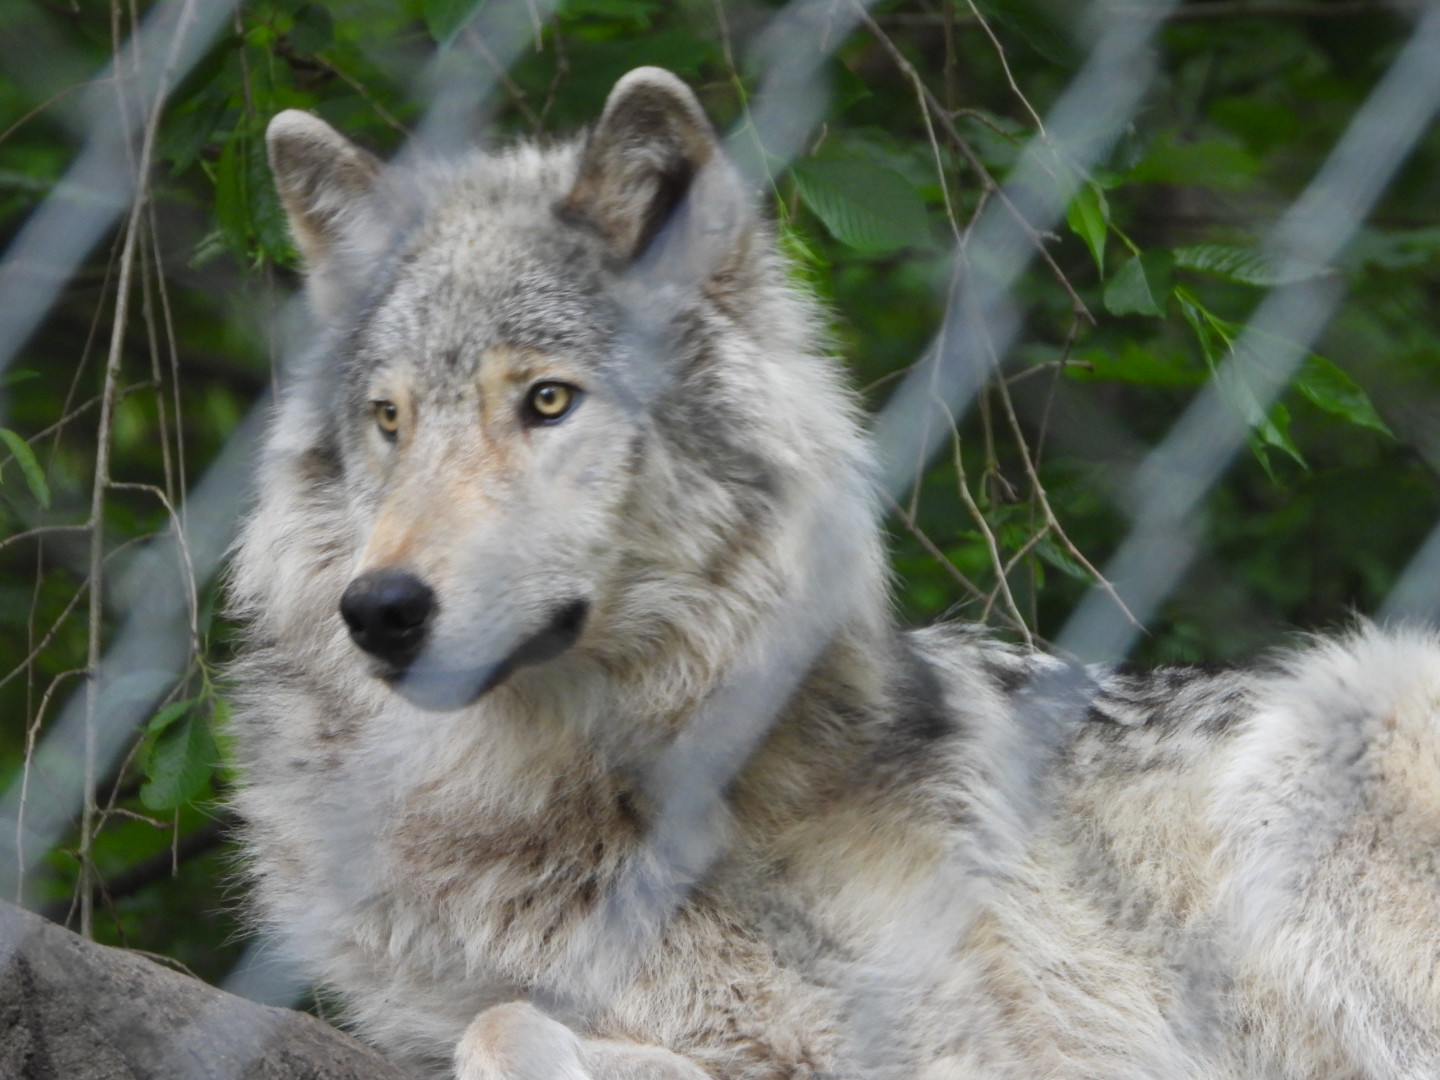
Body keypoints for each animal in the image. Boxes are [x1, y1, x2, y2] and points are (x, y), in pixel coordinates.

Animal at [230, 65, 1440, 1080]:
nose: (381, 610)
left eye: (547, 400)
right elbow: (497, 1023)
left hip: (1342, 720)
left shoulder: (987, 1047)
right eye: (390, 418)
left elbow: (510, 1030)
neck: (544, 804)